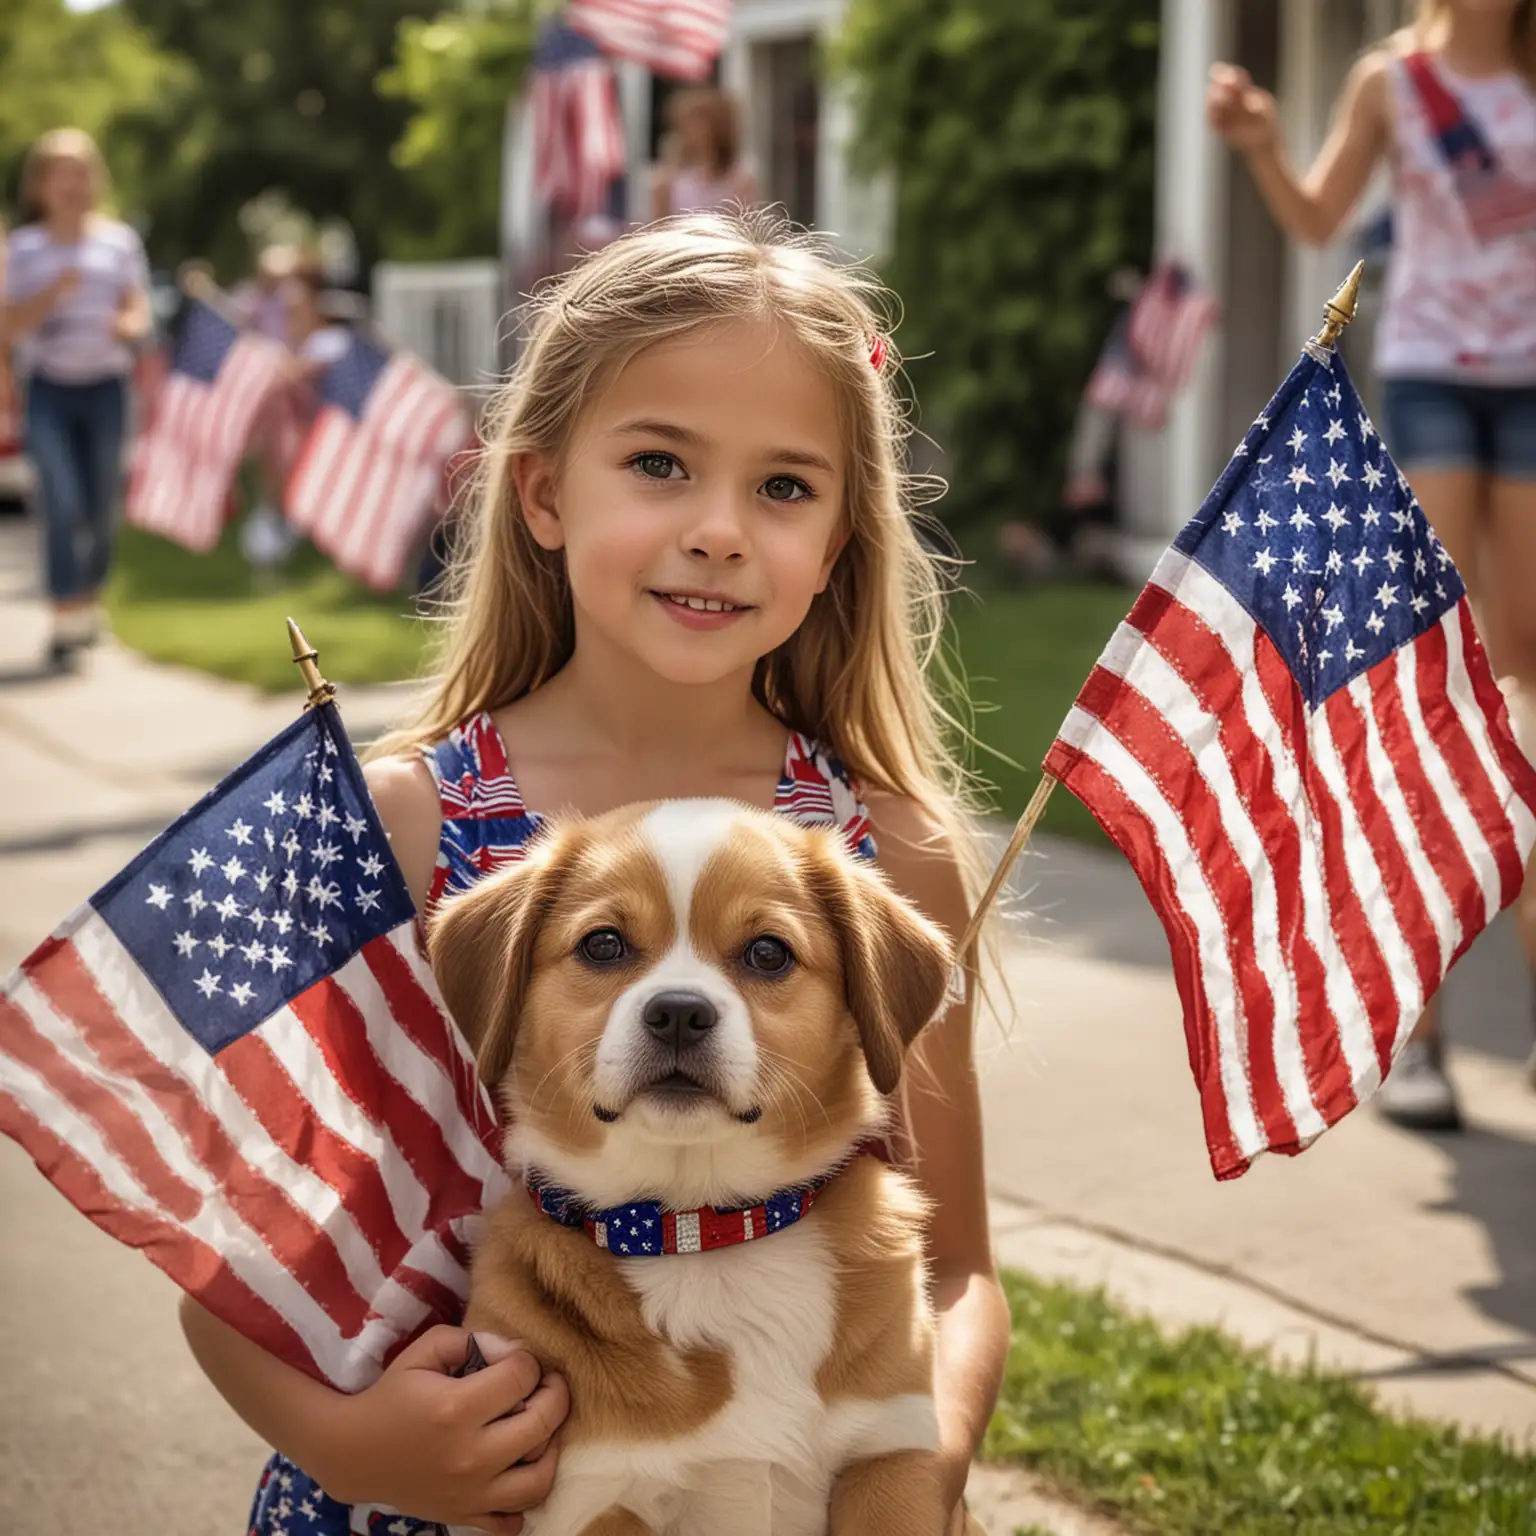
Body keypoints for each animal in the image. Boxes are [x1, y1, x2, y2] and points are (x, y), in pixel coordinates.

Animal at [430, 798, 958, 1536]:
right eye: (602, 944)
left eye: (768, 952)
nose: (679, 1012)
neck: (701, 1231)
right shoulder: (595, 1498)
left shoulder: (891, 1456)